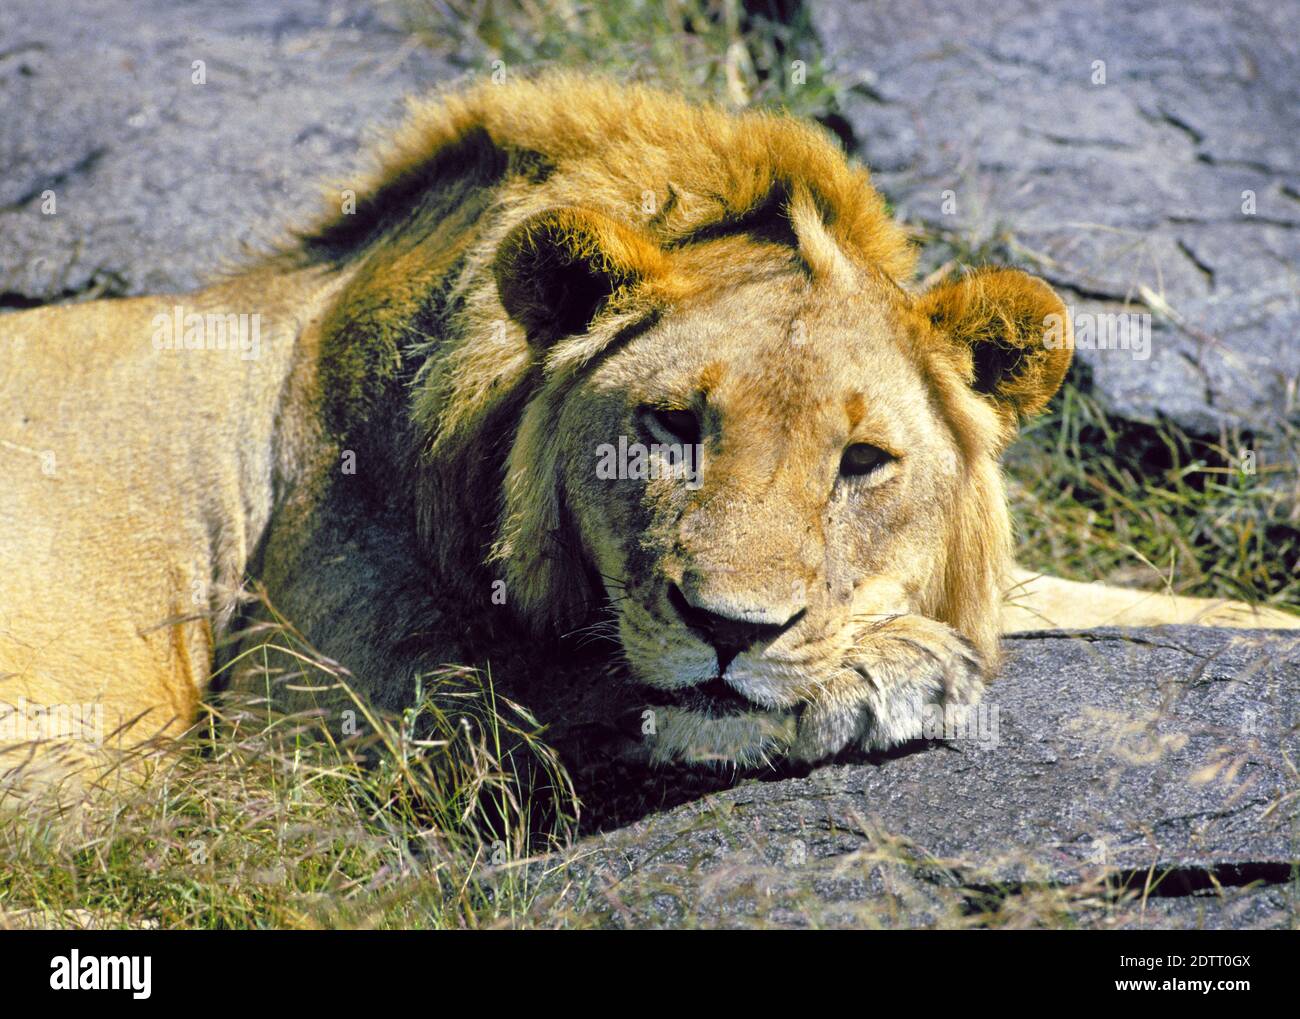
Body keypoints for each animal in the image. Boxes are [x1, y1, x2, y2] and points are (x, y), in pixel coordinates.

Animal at [2, 73, 1300, 790]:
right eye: (671, 425)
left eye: (861, 461)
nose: (731, 629)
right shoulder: (295, 730)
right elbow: (567, 690)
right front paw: (888, 667)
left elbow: (1146, 607)